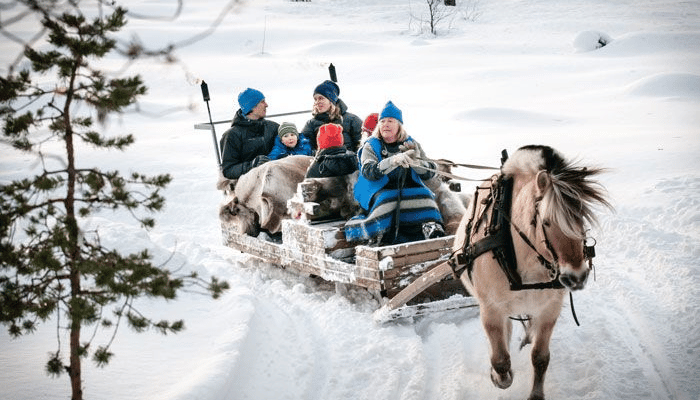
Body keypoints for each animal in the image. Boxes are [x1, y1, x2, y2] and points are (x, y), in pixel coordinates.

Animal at [452, 145, 608, 400]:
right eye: (546, 222)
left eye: (582, 218)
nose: (576, 277)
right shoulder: (491, 309)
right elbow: (500, 361)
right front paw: (498, 377)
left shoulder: (549, 309)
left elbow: (540, 358)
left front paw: (536, 394)